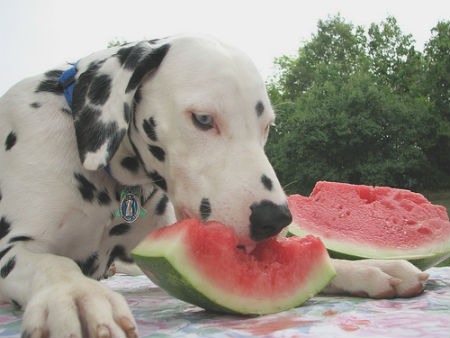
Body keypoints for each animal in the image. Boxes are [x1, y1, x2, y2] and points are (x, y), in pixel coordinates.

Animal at [0, 35, 428, 336]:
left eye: (267, 126)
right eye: (203, 119)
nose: (276, 218)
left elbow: (322, 262)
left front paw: (367, 268)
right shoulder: (14, 248)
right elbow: (54, 264)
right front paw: (75, 296)